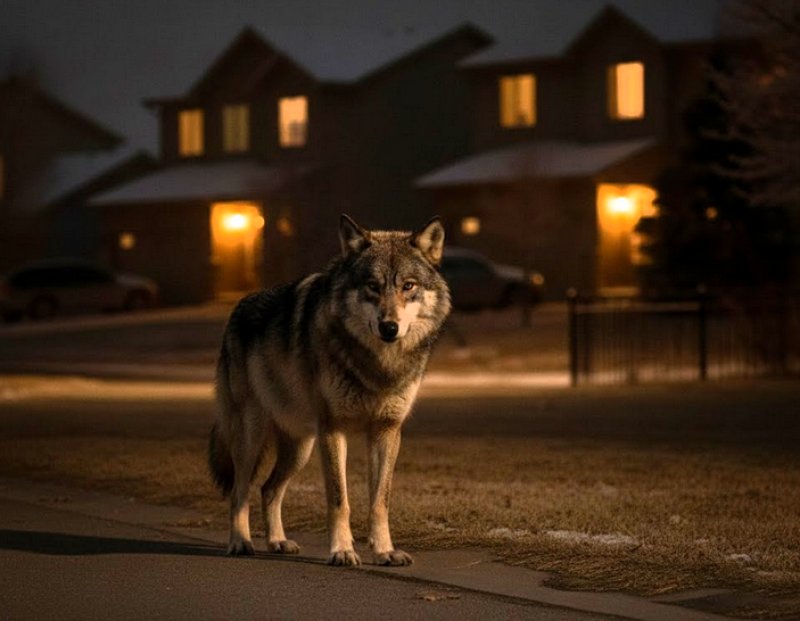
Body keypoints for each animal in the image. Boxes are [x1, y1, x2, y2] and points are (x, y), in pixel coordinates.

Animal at [208, 214, 450, 566]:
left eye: (408, 286)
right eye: (372, 286)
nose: (389, 327)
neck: (378, 364)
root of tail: (238, 308)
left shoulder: (387, 431)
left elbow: (380, 501)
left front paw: (385, 550)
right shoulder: (333, 430)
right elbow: (340, 500)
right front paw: (343, 550)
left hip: (301, 448)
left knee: (269, 489)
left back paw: (278, 541)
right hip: (252, 439)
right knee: (239, 492)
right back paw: (240, 542)